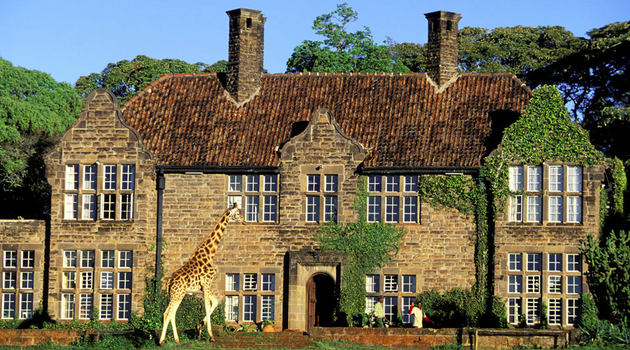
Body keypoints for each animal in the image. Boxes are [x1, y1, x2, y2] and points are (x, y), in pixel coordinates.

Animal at [159, 202, 246, 344]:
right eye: (238, 213)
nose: (244, 221)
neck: (210, 253)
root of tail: (169, 282)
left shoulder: (203, 287)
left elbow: (214, 302)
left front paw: (199, 328)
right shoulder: (206, 283)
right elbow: (207, 305)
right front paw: (210, 335)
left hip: (176, 294)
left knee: (170, 312)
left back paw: (176, 340)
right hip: (178, 294)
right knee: (169, 313)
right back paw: (162, 341)